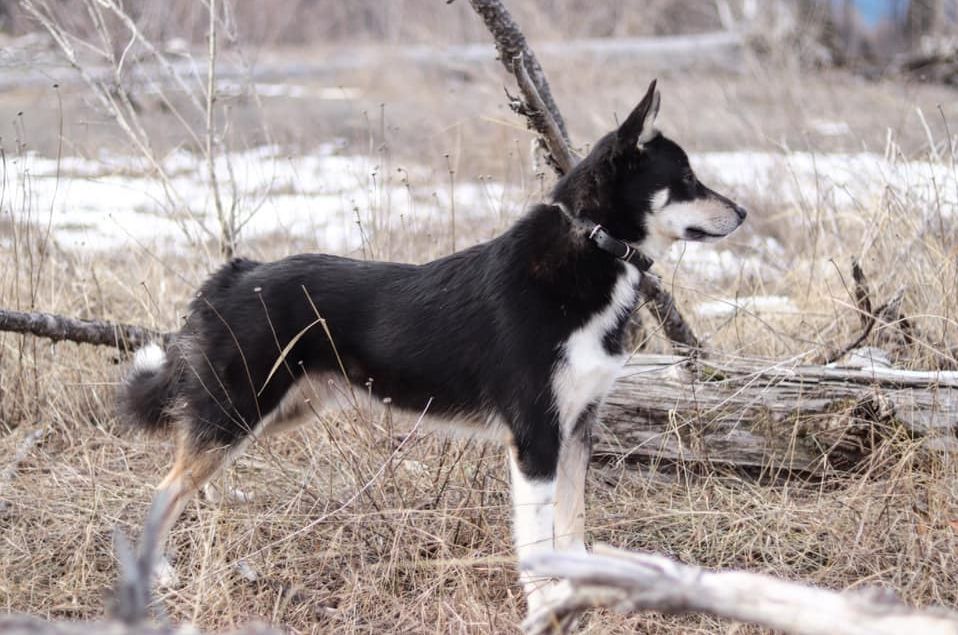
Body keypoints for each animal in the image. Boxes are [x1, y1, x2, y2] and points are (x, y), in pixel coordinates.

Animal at [120, 82, 748, 612]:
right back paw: (157, 573)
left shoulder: (578, 427)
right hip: (239, 410)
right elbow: (538, 539)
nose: (742, 213)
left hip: (274, 411)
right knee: (163, 489)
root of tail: (233, 274)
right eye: (686, 178)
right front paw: (546, 601)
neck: (588, 251)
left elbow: (572, 526)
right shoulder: (536, 439)